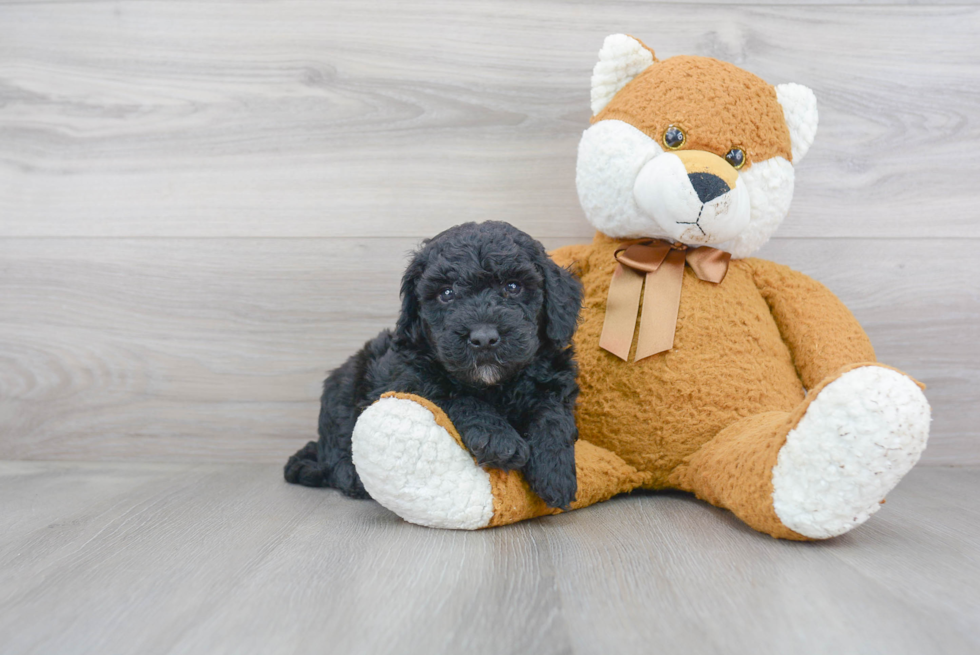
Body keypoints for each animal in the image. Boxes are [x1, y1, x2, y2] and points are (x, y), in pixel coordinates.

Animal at [288, 223, 584, 510]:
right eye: (446, 293)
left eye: (513, 287)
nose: (484, 338)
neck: (495, 385)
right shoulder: (411, 378)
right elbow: (457, 398)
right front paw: (500, 440)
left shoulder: (554, 378)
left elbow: (553, 415)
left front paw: (555, 473)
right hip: (344, 388)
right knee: (337, 447)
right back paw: (351, 477)